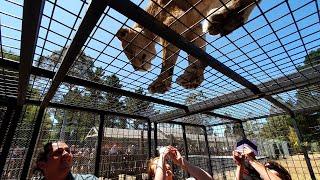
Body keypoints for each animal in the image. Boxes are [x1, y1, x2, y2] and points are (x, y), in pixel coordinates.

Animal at [116, 0, 258, 94]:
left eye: (128, 51)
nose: (135, 69)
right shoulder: (194, 29)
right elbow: (198, 53)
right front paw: (193, 77)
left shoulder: (174, 20)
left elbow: (167, 61)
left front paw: (160, 84)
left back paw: (227, 18)